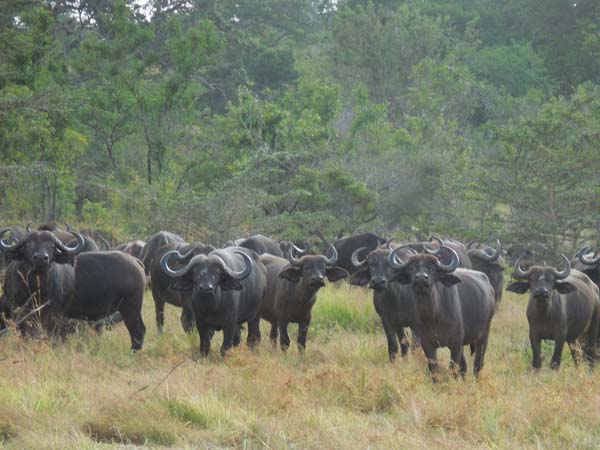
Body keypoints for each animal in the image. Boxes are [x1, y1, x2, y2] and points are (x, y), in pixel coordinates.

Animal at [0, 229, 145, 352]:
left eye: (51, 246)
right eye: (28, 245)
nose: (41, 258)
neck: (35, 287)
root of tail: (135, 261)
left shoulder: (53, 314)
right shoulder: (18, 311)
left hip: (131, 307)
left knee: (137, 330)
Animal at [386, 244, 494, 378]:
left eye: (432, 269)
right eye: (412, 268)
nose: (421, 278)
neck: (433, 316)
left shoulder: (455, 343)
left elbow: (453, 369)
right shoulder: (427, 344)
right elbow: (434, 371)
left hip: (483, 336)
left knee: (478, 365)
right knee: (464, 366)